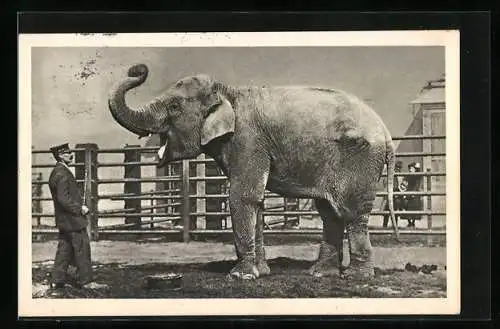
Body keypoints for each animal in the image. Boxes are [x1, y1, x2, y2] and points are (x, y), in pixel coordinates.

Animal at [107, 63, 396, 280]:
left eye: (175, 107)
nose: (139, 69)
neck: (227, 92)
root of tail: (384, 129)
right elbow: (256, 201)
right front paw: (261, 273)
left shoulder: (248, 140)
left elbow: (242, 197)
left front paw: (239, 276)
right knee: (330, 212)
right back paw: (319, 273)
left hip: (360, 160)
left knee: (352, 212)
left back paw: (356, 277)